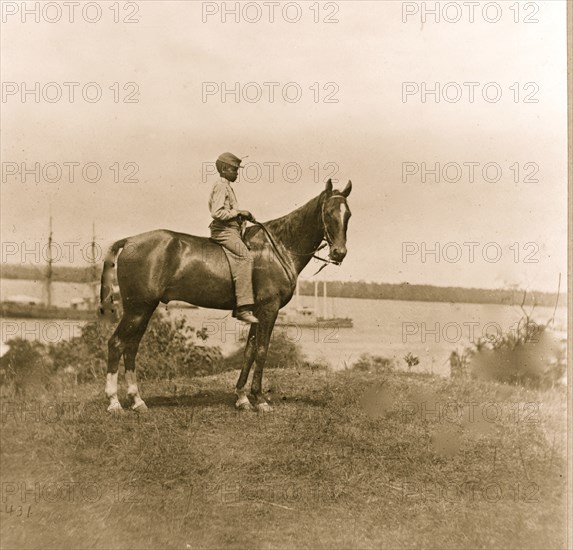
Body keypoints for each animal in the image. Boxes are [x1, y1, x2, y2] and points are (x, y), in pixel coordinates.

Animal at [99, 180, 348, 414]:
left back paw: (137, 400)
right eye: (328, 213)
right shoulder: (269, 309)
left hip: (144, 309)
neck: (277, 247)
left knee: (131, 347)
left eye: (348, 214)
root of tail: (129, 241)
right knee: (116, 343)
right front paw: (259, 399)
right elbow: (262, 350)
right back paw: (114, 402)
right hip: (137, 309)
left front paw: (242, 397)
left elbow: (249, 351)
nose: (339, 253)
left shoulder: (256, 313)